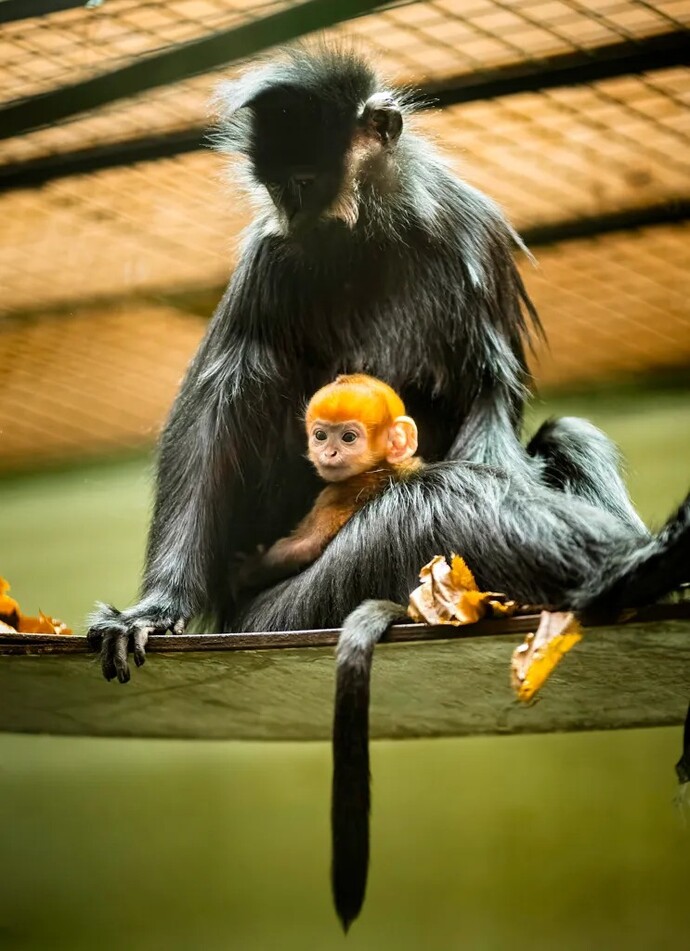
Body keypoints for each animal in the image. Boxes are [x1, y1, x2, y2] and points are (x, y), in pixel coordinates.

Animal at [235, 374, 421, 592]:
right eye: (320, 436)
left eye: (348, 437)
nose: (329, 453)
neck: (380, 468)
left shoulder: (335, 496)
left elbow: (304, 547)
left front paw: (245, 570)